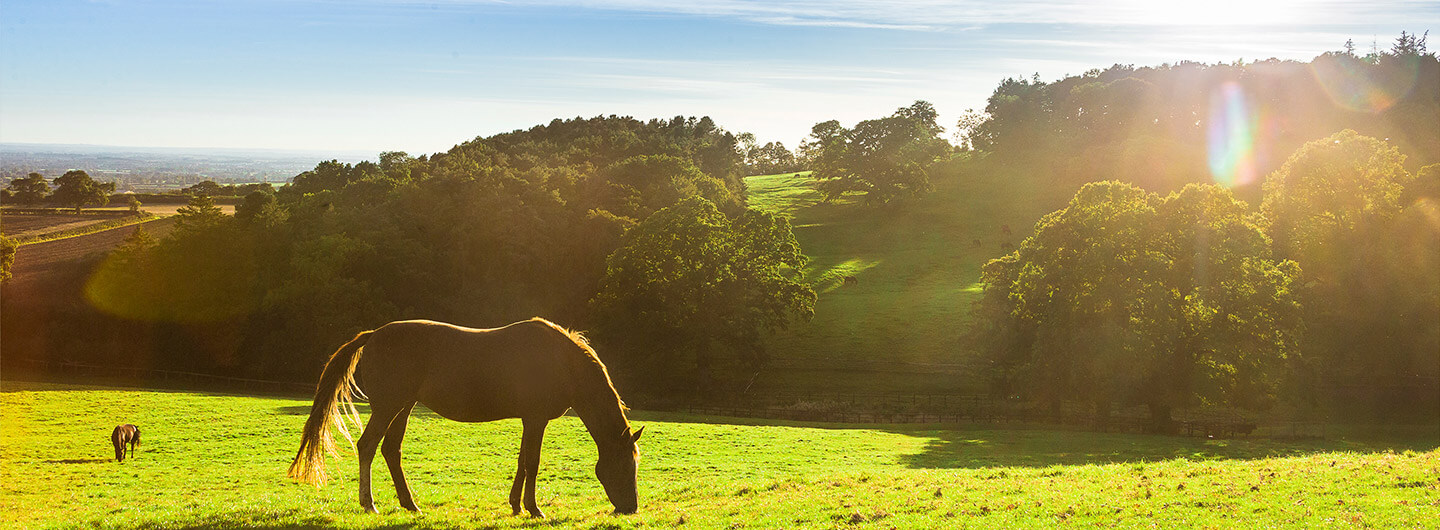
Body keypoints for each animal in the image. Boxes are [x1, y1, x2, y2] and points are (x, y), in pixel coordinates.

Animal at [286, 316, 642, 515]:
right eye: (627, 465)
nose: (630, 509)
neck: (563, 363)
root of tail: (373, 335)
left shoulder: (529, 421)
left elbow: (521, 461)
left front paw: (515, 505)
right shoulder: (536, 419)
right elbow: (532, 462)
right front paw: (533, 508)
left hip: (403, 407)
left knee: (391, 450)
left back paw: (410, 504)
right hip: (388, 407)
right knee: (368, 447)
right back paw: (369, 503)